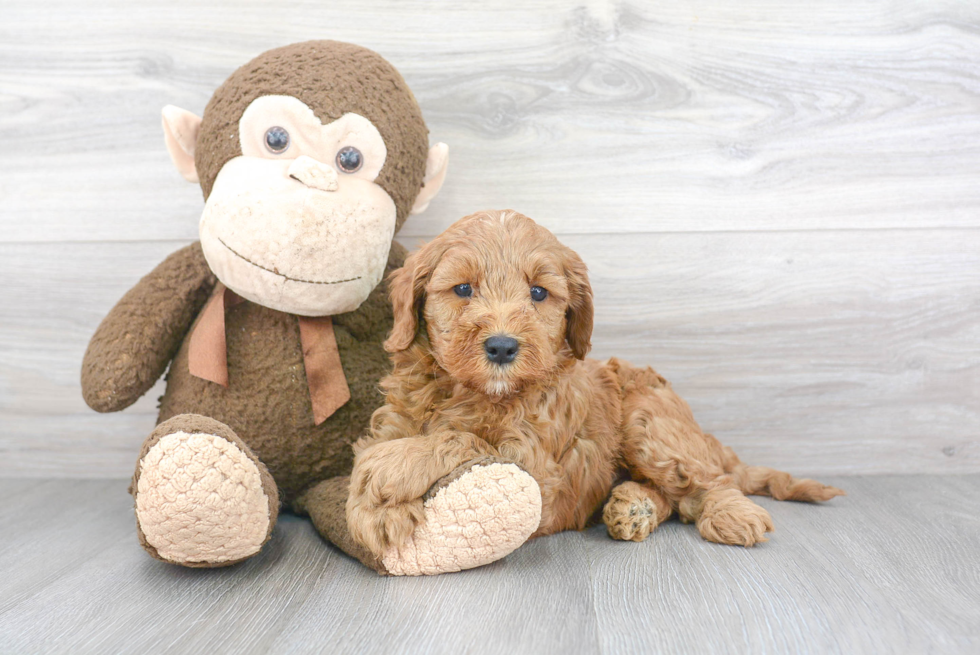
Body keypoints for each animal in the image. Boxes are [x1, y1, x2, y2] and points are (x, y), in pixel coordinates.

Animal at [346, 209, 844, 564]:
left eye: (539, 293)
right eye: (463, 289)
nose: (503, 347)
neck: (473, 392)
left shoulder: (535, 462)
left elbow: (461, 439)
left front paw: (389, 472)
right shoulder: (396, 419)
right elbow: (385, 447)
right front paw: (376, 508)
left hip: (650, 422)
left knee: (705, 481)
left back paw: (730, 515)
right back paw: (633, 506)